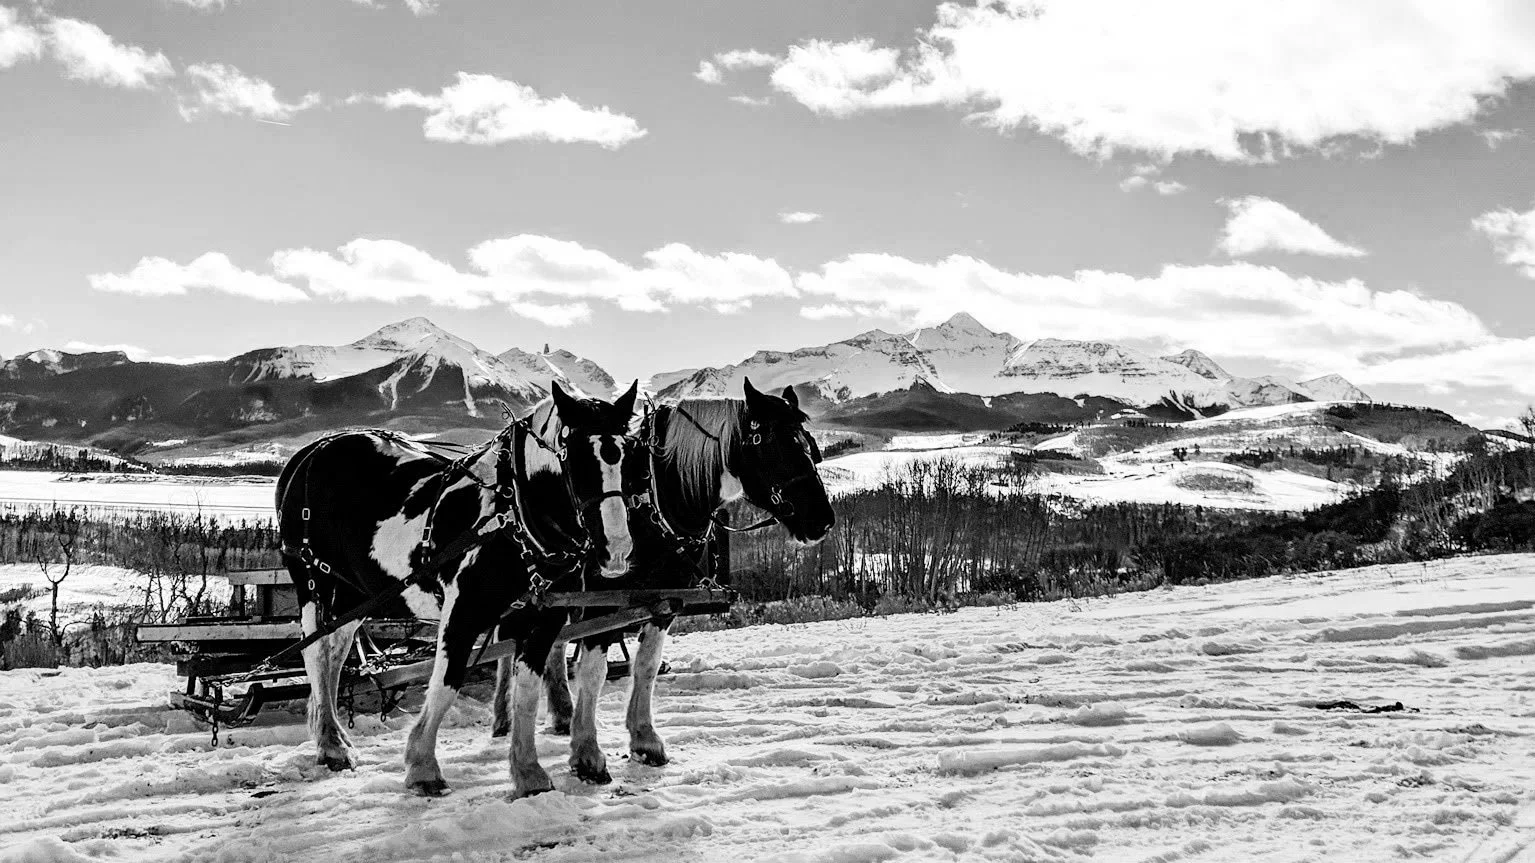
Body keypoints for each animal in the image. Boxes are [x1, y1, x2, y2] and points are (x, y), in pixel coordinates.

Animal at [275, 381, 640, 797]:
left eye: (626, 453)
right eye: (574, 454)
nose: (616, 548)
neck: (512, 512)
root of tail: (308, 452)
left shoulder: (544, 615)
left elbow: (528, 690)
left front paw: (528, 771)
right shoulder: (464, 611)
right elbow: (446, 682)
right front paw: (423, 767)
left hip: (355, 592)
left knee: (336, 653)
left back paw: (333, 734)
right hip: (313, 580)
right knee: (316, 655)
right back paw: (331, 745)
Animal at [490, 378, 836, 786]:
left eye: (808, 444)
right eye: (774, 445)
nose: (822, 520)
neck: (652, 498)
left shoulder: (665, 599)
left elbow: (647, 664)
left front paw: (644, 738)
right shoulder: (602, 598)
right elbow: (594, 671)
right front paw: (588, 752)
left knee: (549, 647)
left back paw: (558, 712)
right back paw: (506, 716)